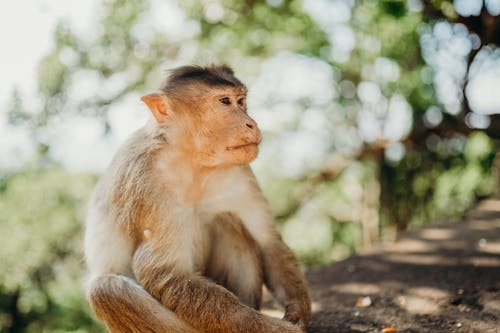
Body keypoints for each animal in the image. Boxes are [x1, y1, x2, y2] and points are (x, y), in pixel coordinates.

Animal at [85, 65, 312, 332]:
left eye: (241, 101)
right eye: (224, 102)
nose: (251, 123)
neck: (192, 160)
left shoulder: (240, 171)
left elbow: (269, 241)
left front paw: (298, 309)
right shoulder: (144, 180)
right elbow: (164, 272)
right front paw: (269, 327)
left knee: (227, 220)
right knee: (107, 290)